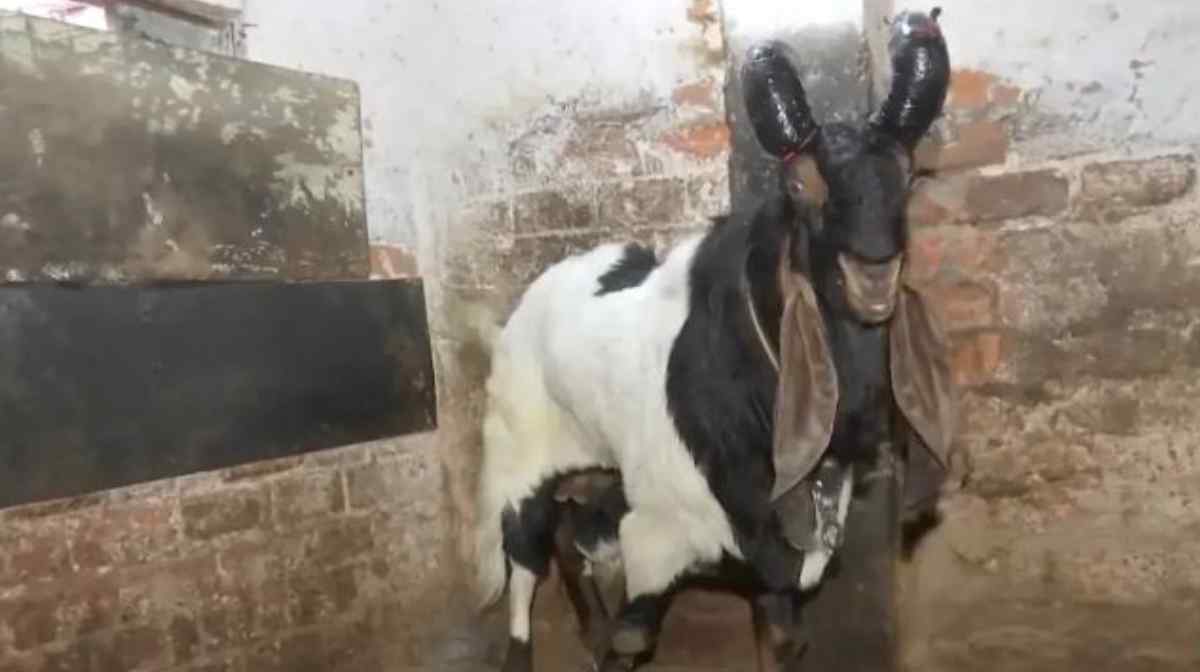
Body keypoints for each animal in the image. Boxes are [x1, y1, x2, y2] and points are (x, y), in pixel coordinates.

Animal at [470, 9, 957, 672]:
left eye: (906, 176)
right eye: (800, 185)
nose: (874, 272)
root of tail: (519, 314)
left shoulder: (776, 570)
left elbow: (780, 641)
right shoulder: (658, 542)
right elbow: (633, 637)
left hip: (599, 474)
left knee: (571, 536)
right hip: (520, 462)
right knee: (524, 561)